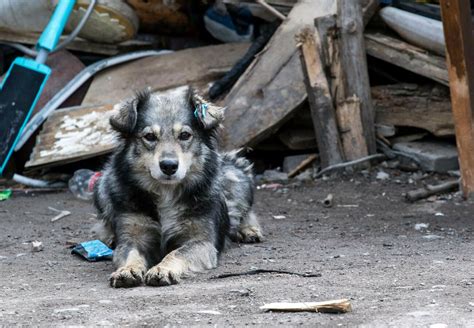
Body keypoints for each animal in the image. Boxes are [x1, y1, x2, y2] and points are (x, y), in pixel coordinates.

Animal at [92, 86, 262, 288]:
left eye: (185, 135)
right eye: (149, 136)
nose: (168, 166)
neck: (166, 192)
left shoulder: (201, 242)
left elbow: (176, 253)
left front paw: (162, 269)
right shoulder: (132, 237)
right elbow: (130, 253)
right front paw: (127, 270)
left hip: (238, 177)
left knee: (245, 212)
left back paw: (248, 229)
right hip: (104, 184)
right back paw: (108, 236)